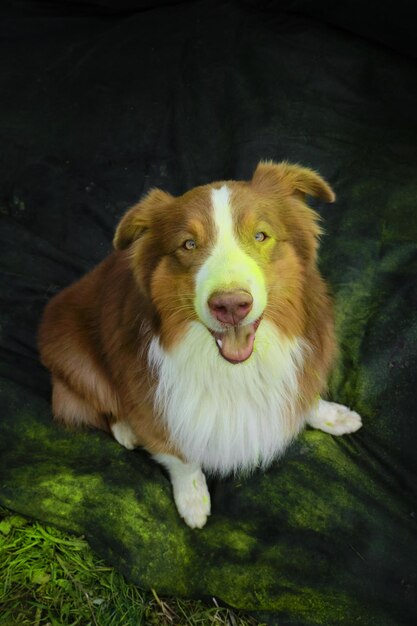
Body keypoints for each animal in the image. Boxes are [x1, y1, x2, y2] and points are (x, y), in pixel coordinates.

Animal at [39, 161, 364, 528]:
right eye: (189, 244)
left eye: (260, 235)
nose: (231, 306)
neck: (235, 369)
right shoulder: (156, 406)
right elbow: (180, 457)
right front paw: (193, 500)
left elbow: (303, 396)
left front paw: (332, 415)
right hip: (72, 355)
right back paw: (126, 430)